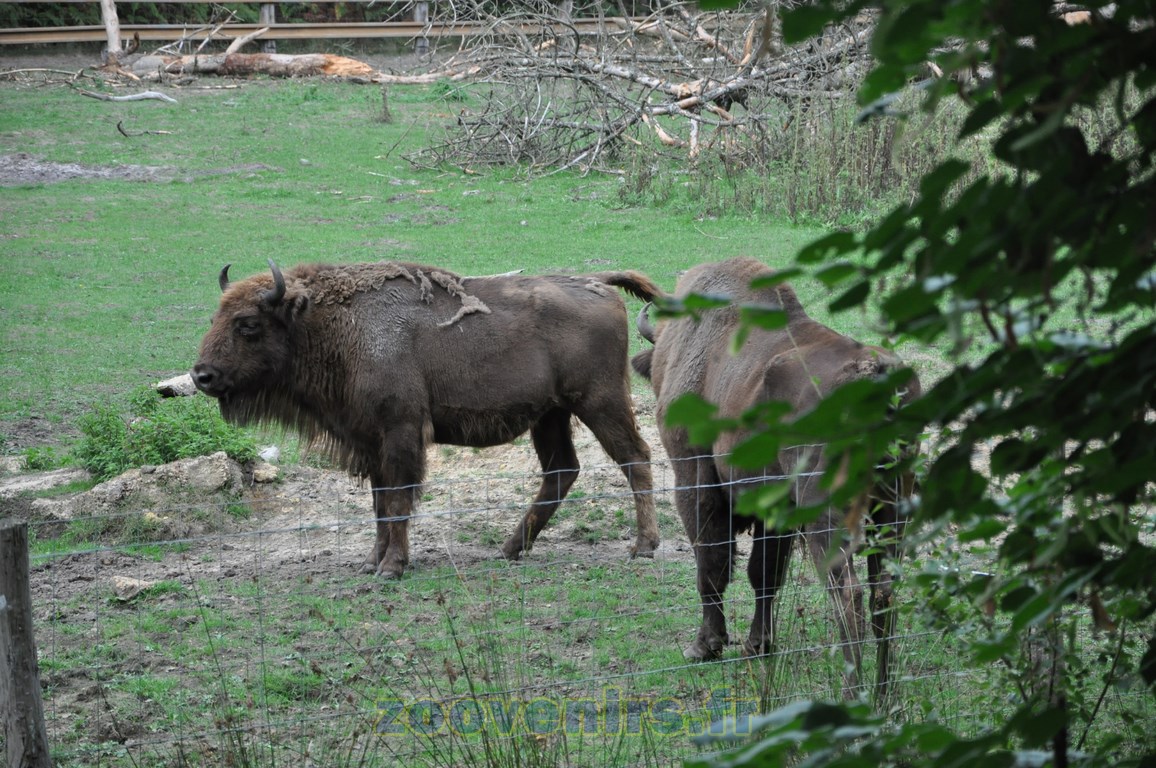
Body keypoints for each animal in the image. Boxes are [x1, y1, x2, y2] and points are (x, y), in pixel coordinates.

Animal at [193, 260, 661, 579]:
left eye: (248, 324)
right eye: (215, 316)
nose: (202, 375)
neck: (335, 324)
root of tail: (598, 282)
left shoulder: (400, 432)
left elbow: (399, 500)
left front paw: (392, 567)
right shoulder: (372, 443)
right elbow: (380, 504)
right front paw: (372, 561)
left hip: (599, 401)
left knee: (635, 457)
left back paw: (643, 546)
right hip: (550, 415)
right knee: (562, 471)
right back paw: (510, 548)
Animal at [630, 257, 921, 695]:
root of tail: (875, 377)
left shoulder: (694, 477)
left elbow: (711, 564)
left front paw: (705, 646)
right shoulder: (776, 507)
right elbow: (763, 573)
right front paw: (758, 645)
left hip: (828, 514)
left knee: (847, 593)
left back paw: (854, 692)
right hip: (890, 508)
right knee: (883, 592)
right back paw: (885, 692)